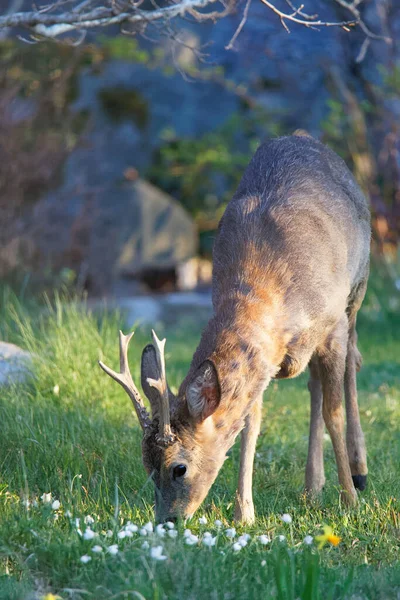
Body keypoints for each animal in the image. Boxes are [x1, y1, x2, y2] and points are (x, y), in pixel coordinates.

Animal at [98, 134, 370, 524]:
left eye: (179, 468)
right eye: (147, 467)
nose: (167, 520)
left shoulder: (332, 324)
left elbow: (333, 413)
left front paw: (350, 501)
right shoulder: (265, 359)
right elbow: (249, 424)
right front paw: (245, 513)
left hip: (357, 290)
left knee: (352, 361)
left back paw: (359, 471)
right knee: (313, 384)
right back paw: (312, 486)